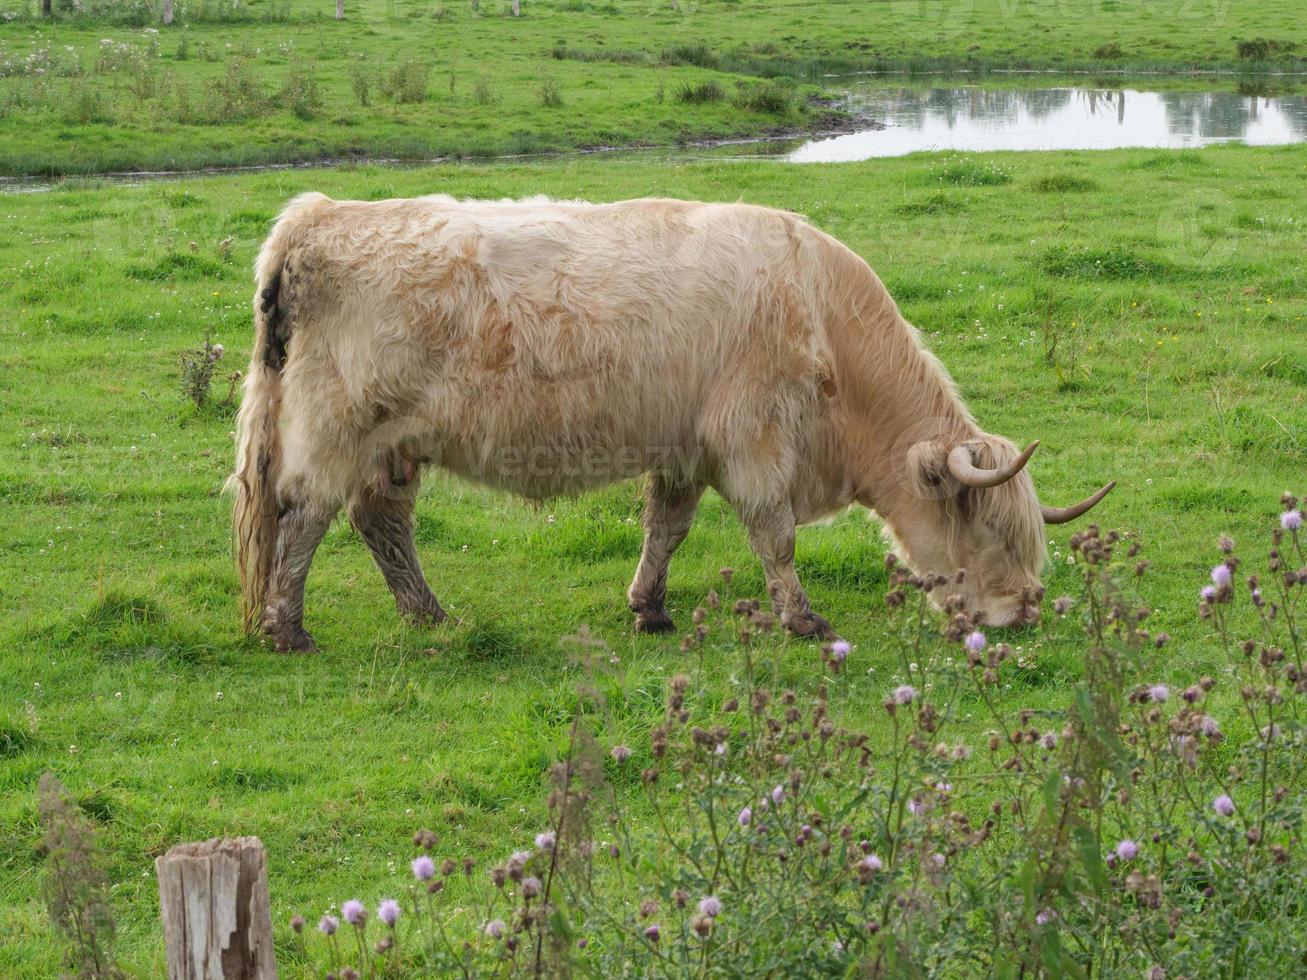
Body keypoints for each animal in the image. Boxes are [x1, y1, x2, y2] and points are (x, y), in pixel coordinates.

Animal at [230, 192, 1108, 653]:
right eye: (987, 530)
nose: (1024, 610)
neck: (823, 318)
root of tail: (319, 215)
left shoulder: (685, 447)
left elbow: (667, 527)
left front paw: (648, 607)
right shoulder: (754, 438)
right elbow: (772, 536)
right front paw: (801, 618)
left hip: (394, 446)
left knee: (381, 523)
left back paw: (429, 615)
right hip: (338, 428)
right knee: (306, 515)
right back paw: (287, 627)